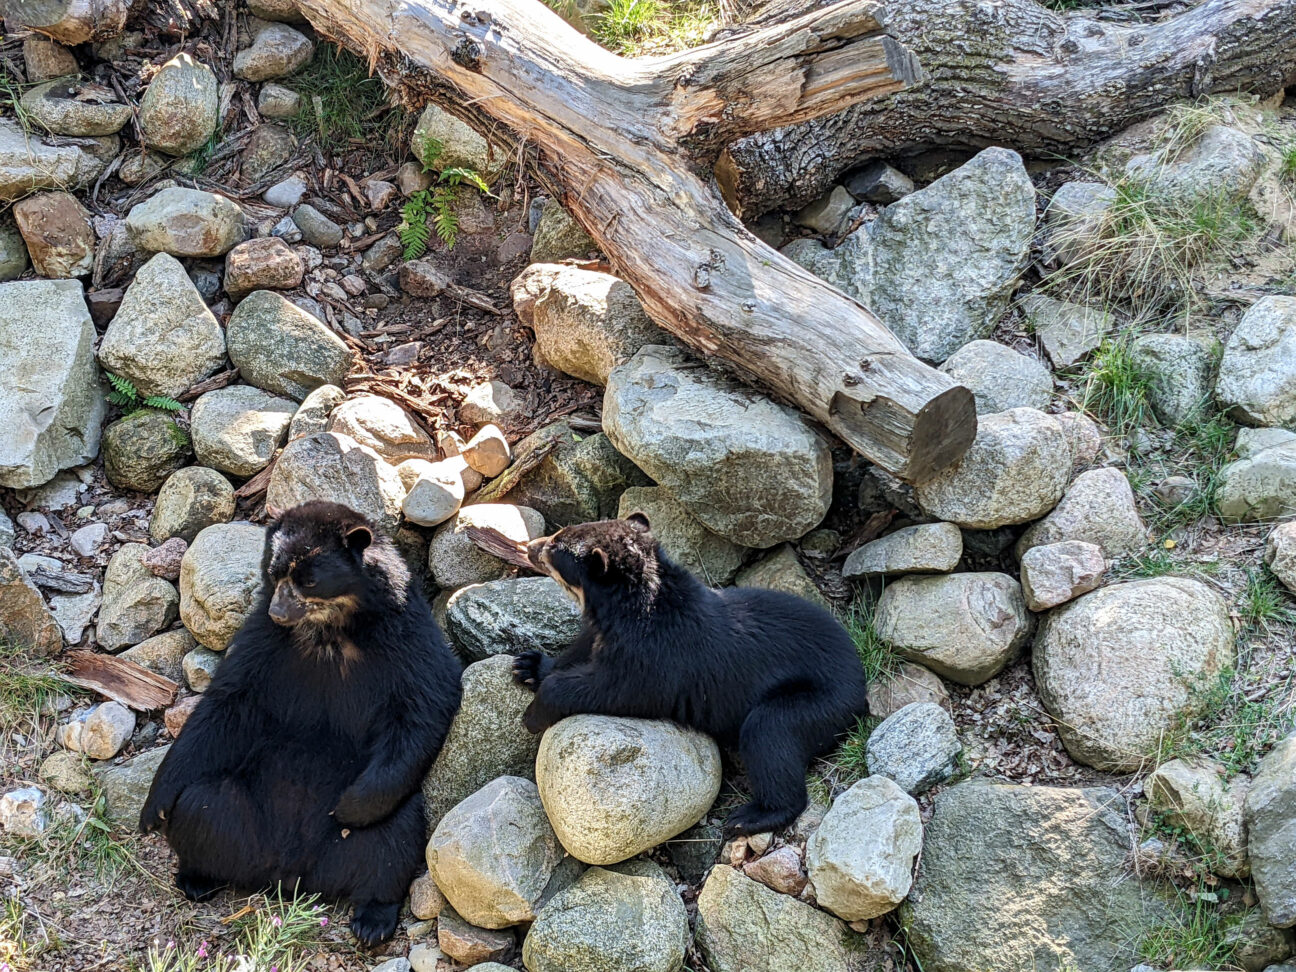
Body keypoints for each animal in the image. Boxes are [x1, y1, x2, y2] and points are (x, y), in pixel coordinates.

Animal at [141, 502, 463, 943]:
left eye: (309, 580)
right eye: (274, 573)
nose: (279, 612)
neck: (328, 633)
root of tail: (291, 874)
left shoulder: (406, 637)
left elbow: (423, 705)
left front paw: (348, 808)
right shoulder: (263, 641)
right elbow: (226, 706)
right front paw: (153, 809)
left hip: (375, 834)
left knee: (395, 836)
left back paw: (372, 919)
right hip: (243, 822)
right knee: (199, 806)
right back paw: (197, 877)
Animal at [510, 513, 865, 839]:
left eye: (556, 548)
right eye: (559, 535)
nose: (529, 546)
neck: (627, 610)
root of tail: (860, 682)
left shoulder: (654, 657)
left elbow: (613, 688)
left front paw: (533, 715)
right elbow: (580, 649)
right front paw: (528, 665)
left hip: (819, 701)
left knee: (770, 732)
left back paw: (749, 817)